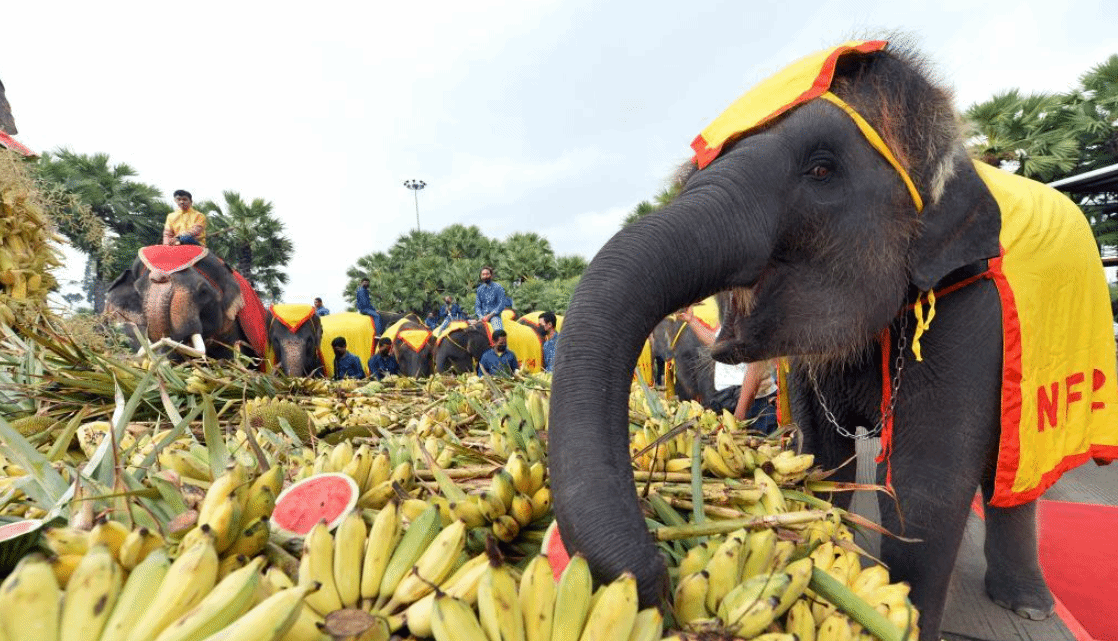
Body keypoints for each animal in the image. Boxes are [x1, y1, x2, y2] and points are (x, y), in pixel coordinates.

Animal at [543, 39, 1118, 639]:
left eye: (821, 170)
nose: (656, 569)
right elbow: (822, 453)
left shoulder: (969, 302)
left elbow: (924, 483)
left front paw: (903, 614)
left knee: (1014, 479)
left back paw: (1027, 606)